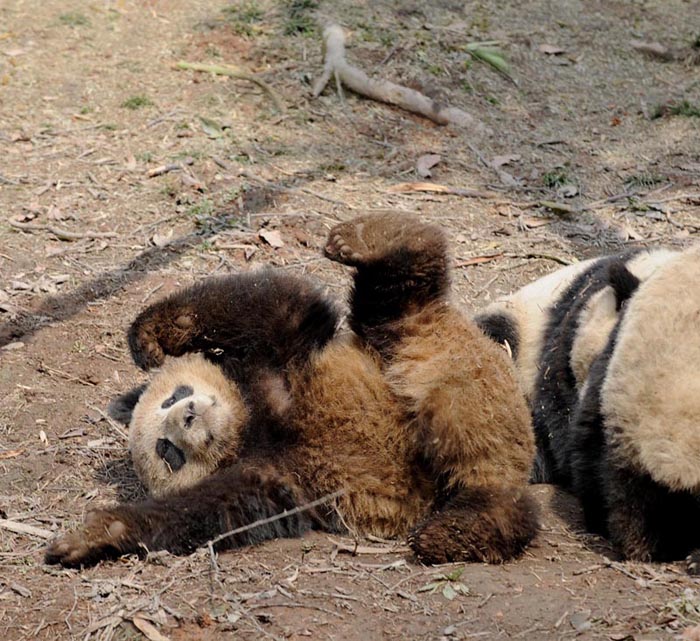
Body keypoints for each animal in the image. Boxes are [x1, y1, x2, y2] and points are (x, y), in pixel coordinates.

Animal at [43, 212, 536, 568]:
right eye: (168, 451)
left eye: (173, 396)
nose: (189, 416)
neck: (249, 421)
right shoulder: (274, 475)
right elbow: (206, 511)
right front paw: (98, 535)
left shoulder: (283, 359)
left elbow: (273, 303)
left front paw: (153, 337)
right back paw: (460, 529)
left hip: (428, 356)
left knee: (402, 293)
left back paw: (367, 237)